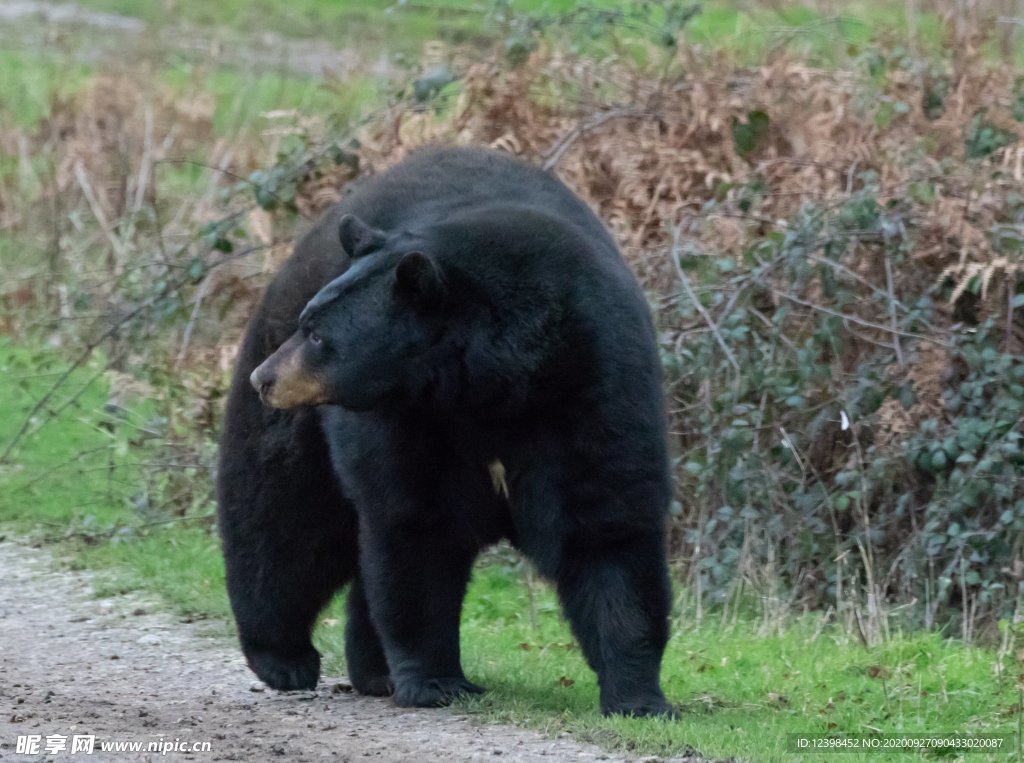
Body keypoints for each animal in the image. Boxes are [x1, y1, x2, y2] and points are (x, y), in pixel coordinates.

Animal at [218, 147, 671, 712]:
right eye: (308, 322)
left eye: (319, 335)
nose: (265, 377)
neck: (494, 386)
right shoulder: (409, 420)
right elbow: (418, 527)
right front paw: (436, 682)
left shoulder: (595, 386)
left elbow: (607, 526)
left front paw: (640, 698)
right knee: (281, 510)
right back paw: (284, 656)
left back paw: (373, 670)